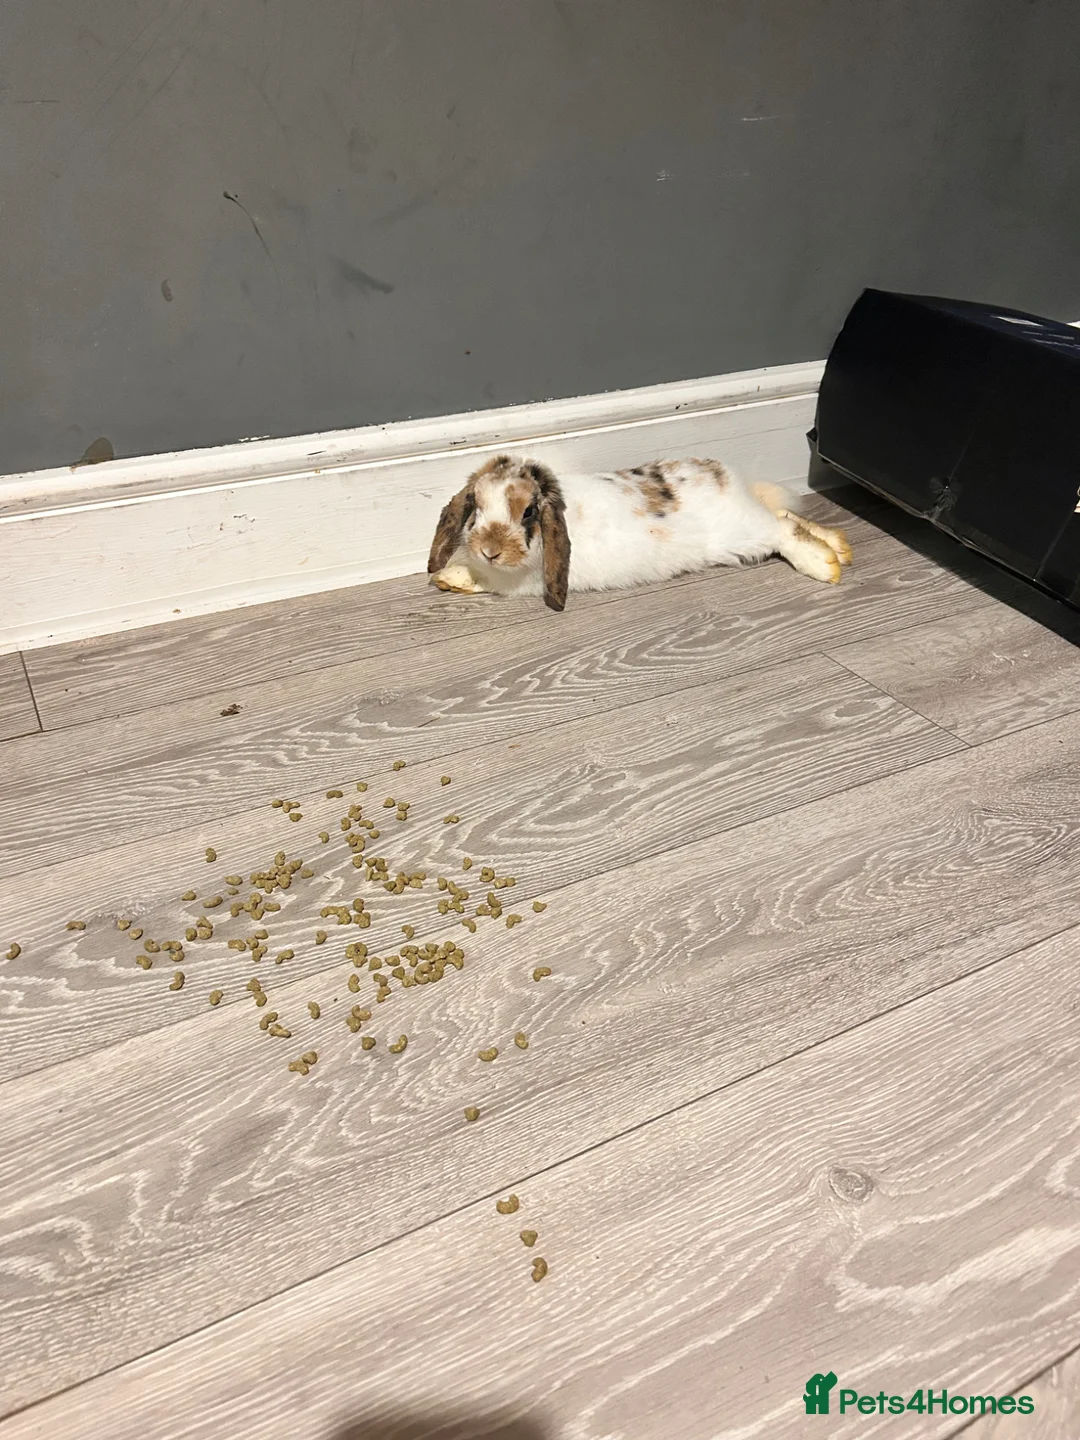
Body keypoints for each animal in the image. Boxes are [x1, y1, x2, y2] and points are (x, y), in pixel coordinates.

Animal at [427, 453, 852, 611]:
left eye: (528, 512)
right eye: (476, 508)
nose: (490, 549)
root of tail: (727, 478)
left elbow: (484, 581)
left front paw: (454, 577)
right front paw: (448, 577)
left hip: (742, 535)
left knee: (783, 529)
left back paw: (825, 565)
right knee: (784, 513)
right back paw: (840, 548)